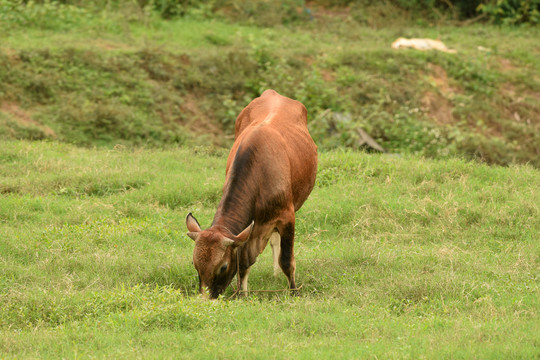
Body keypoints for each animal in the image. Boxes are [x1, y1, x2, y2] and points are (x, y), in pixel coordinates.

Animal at [188, 89, 318, 298]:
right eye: (195, 264)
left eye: (223, 267)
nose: (205, 299)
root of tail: (272, 93)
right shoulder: (249, 231)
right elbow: (243, 263)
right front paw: (243, 294)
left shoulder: (287, 217)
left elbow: (286, 260)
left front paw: (293, 291)